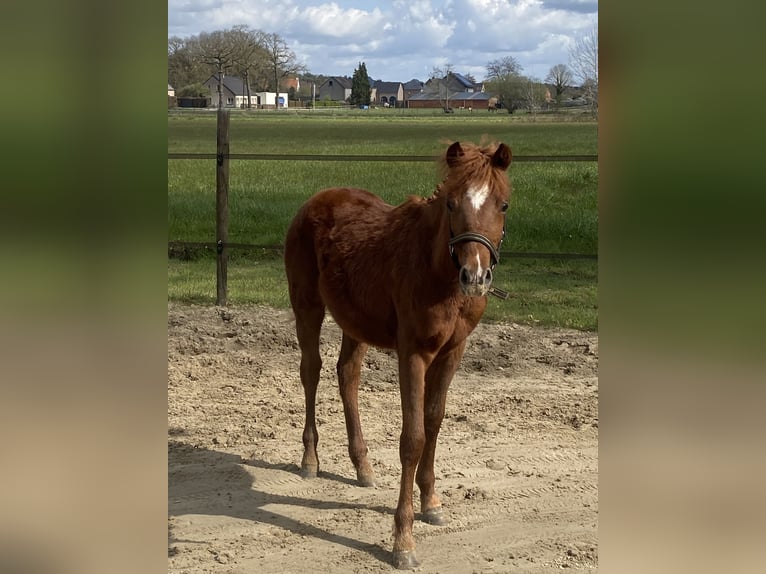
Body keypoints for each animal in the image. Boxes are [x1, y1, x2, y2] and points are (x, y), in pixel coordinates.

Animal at [284, 140, 512, 569]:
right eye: (451, 203)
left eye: (503, 204)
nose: (475, 277)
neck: (436, 270)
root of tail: (315, 200)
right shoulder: (414, 354)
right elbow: (413, 438)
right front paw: (403, 540)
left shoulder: (453, 351)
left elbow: (434, 421)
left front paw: (431, 502)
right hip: (307, 307)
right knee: (311, 372)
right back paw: (310, 461)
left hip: (355, 322)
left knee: (347, 374)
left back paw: (363, 465)